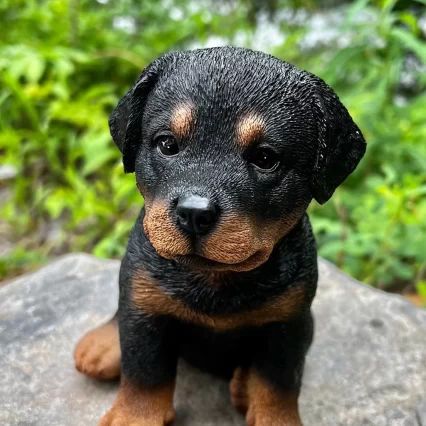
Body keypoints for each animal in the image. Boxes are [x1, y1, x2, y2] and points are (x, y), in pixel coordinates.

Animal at [74, 47, 366, 426]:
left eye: (265, 158)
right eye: (167, 144)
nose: (194, 213)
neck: (215, 280)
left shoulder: (289, 323)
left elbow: (280, 384)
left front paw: (275, 415)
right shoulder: (145, 304)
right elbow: (144, 373)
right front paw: (134, 416)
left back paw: (243, 384)